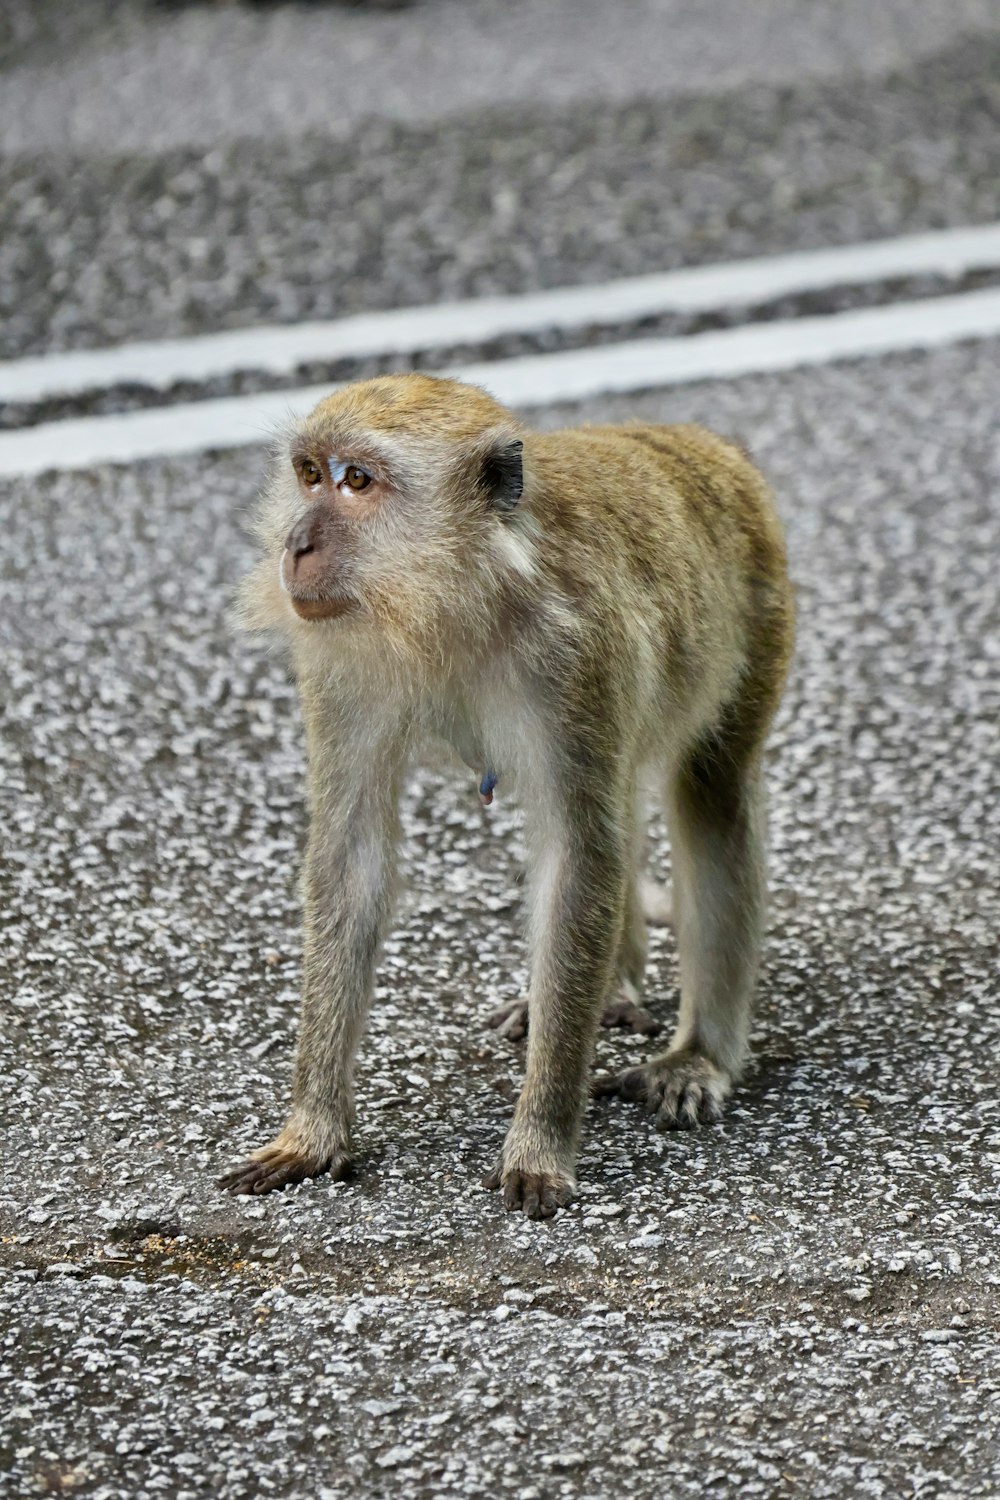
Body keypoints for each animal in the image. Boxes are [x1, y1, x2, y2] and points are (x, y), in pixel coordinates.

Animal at [218, 372, 797, 1218]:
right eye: (308, 473)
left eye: (358, 482)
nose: (296, 545)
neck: (464, 592)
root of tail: (698, 442)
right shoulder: (339, 664)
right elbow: (352, 858)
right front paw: (314, 1129)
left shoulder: (578, 655)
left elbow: (576, 863)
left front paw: (540, 1140)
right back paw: (612, 984)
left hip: (760, 605)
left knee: (709, 792)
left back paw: (700, 1055)